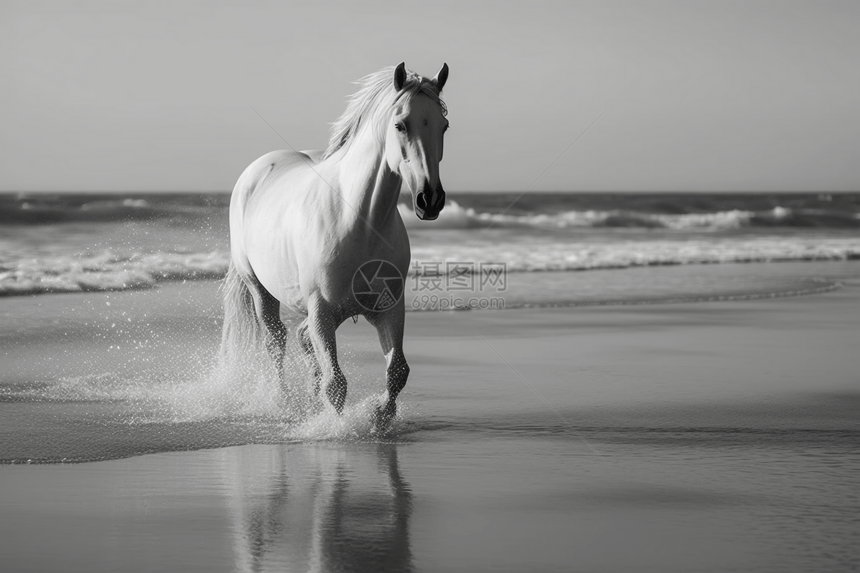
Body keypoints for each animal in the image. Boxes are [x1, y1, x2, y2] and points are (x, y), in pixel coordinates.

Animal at [220, 65, 450, 426]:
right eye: (400, 124)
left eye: (444, 126)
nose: (430, 200)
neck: (359, 222)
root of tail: (255, 171)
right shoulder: (322, 311)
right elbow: (336, 384)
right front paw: (339, 428)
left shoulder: (389, 309)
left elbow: (397, 371)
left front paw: (379, 417)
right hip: (260, 290)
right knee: (277, 342)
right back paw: (283, 402)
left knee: (302, 339)